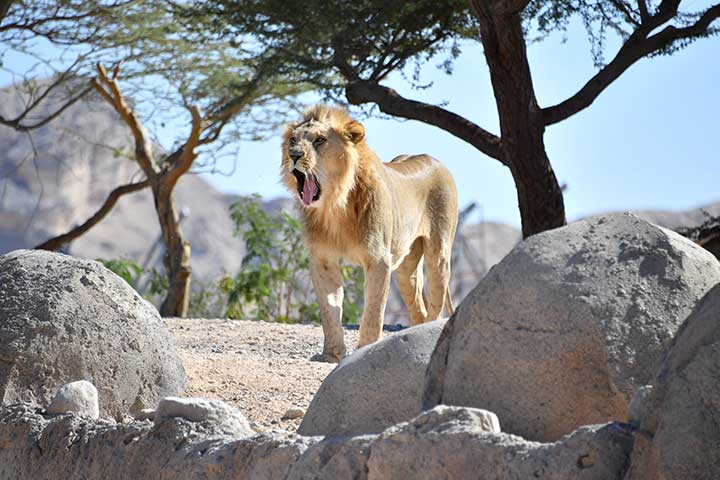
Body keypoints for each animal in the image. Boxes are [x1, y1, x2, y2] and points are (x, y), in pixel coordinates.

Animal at [282, 104, 456, 360]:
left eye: (320, 140)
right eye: (293, 140)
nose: (293, 155)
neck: (334, 206)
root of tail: (434, 159)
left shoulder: (379, 260)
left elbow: (373, 310)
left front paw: (365, 349)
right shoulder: (323, 260)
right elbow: (329, 309)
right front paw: (332, 355)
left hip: (438, 254)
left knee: (435, 304)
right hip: (406, 267)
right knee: (419, 308)